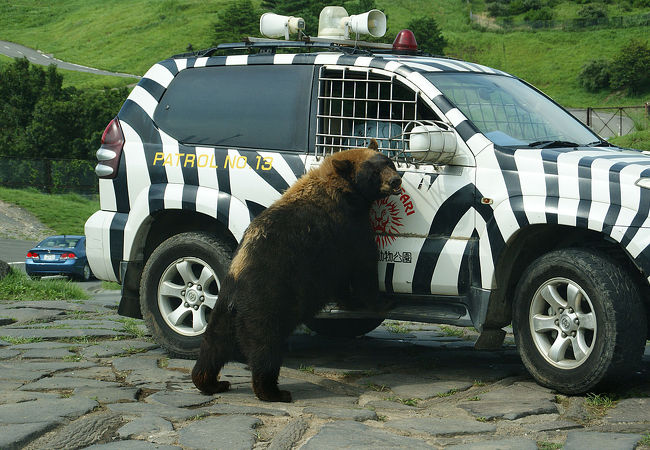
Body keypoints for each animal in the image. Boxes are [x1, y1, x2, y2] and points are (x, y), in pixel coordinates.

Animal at [190, 140, 398, 400]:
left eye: (389, 163)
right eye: (374, 173)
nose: (396, 181)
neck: (342, 189)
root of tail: (237, 291)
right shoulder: (348, 227)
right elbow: (363, 265)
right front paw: (383, 301)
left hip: (222, 310)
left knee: (213, 344)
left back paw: (210, 382)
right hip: (267, 304)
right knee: (265, 347)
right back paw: (274, 391)